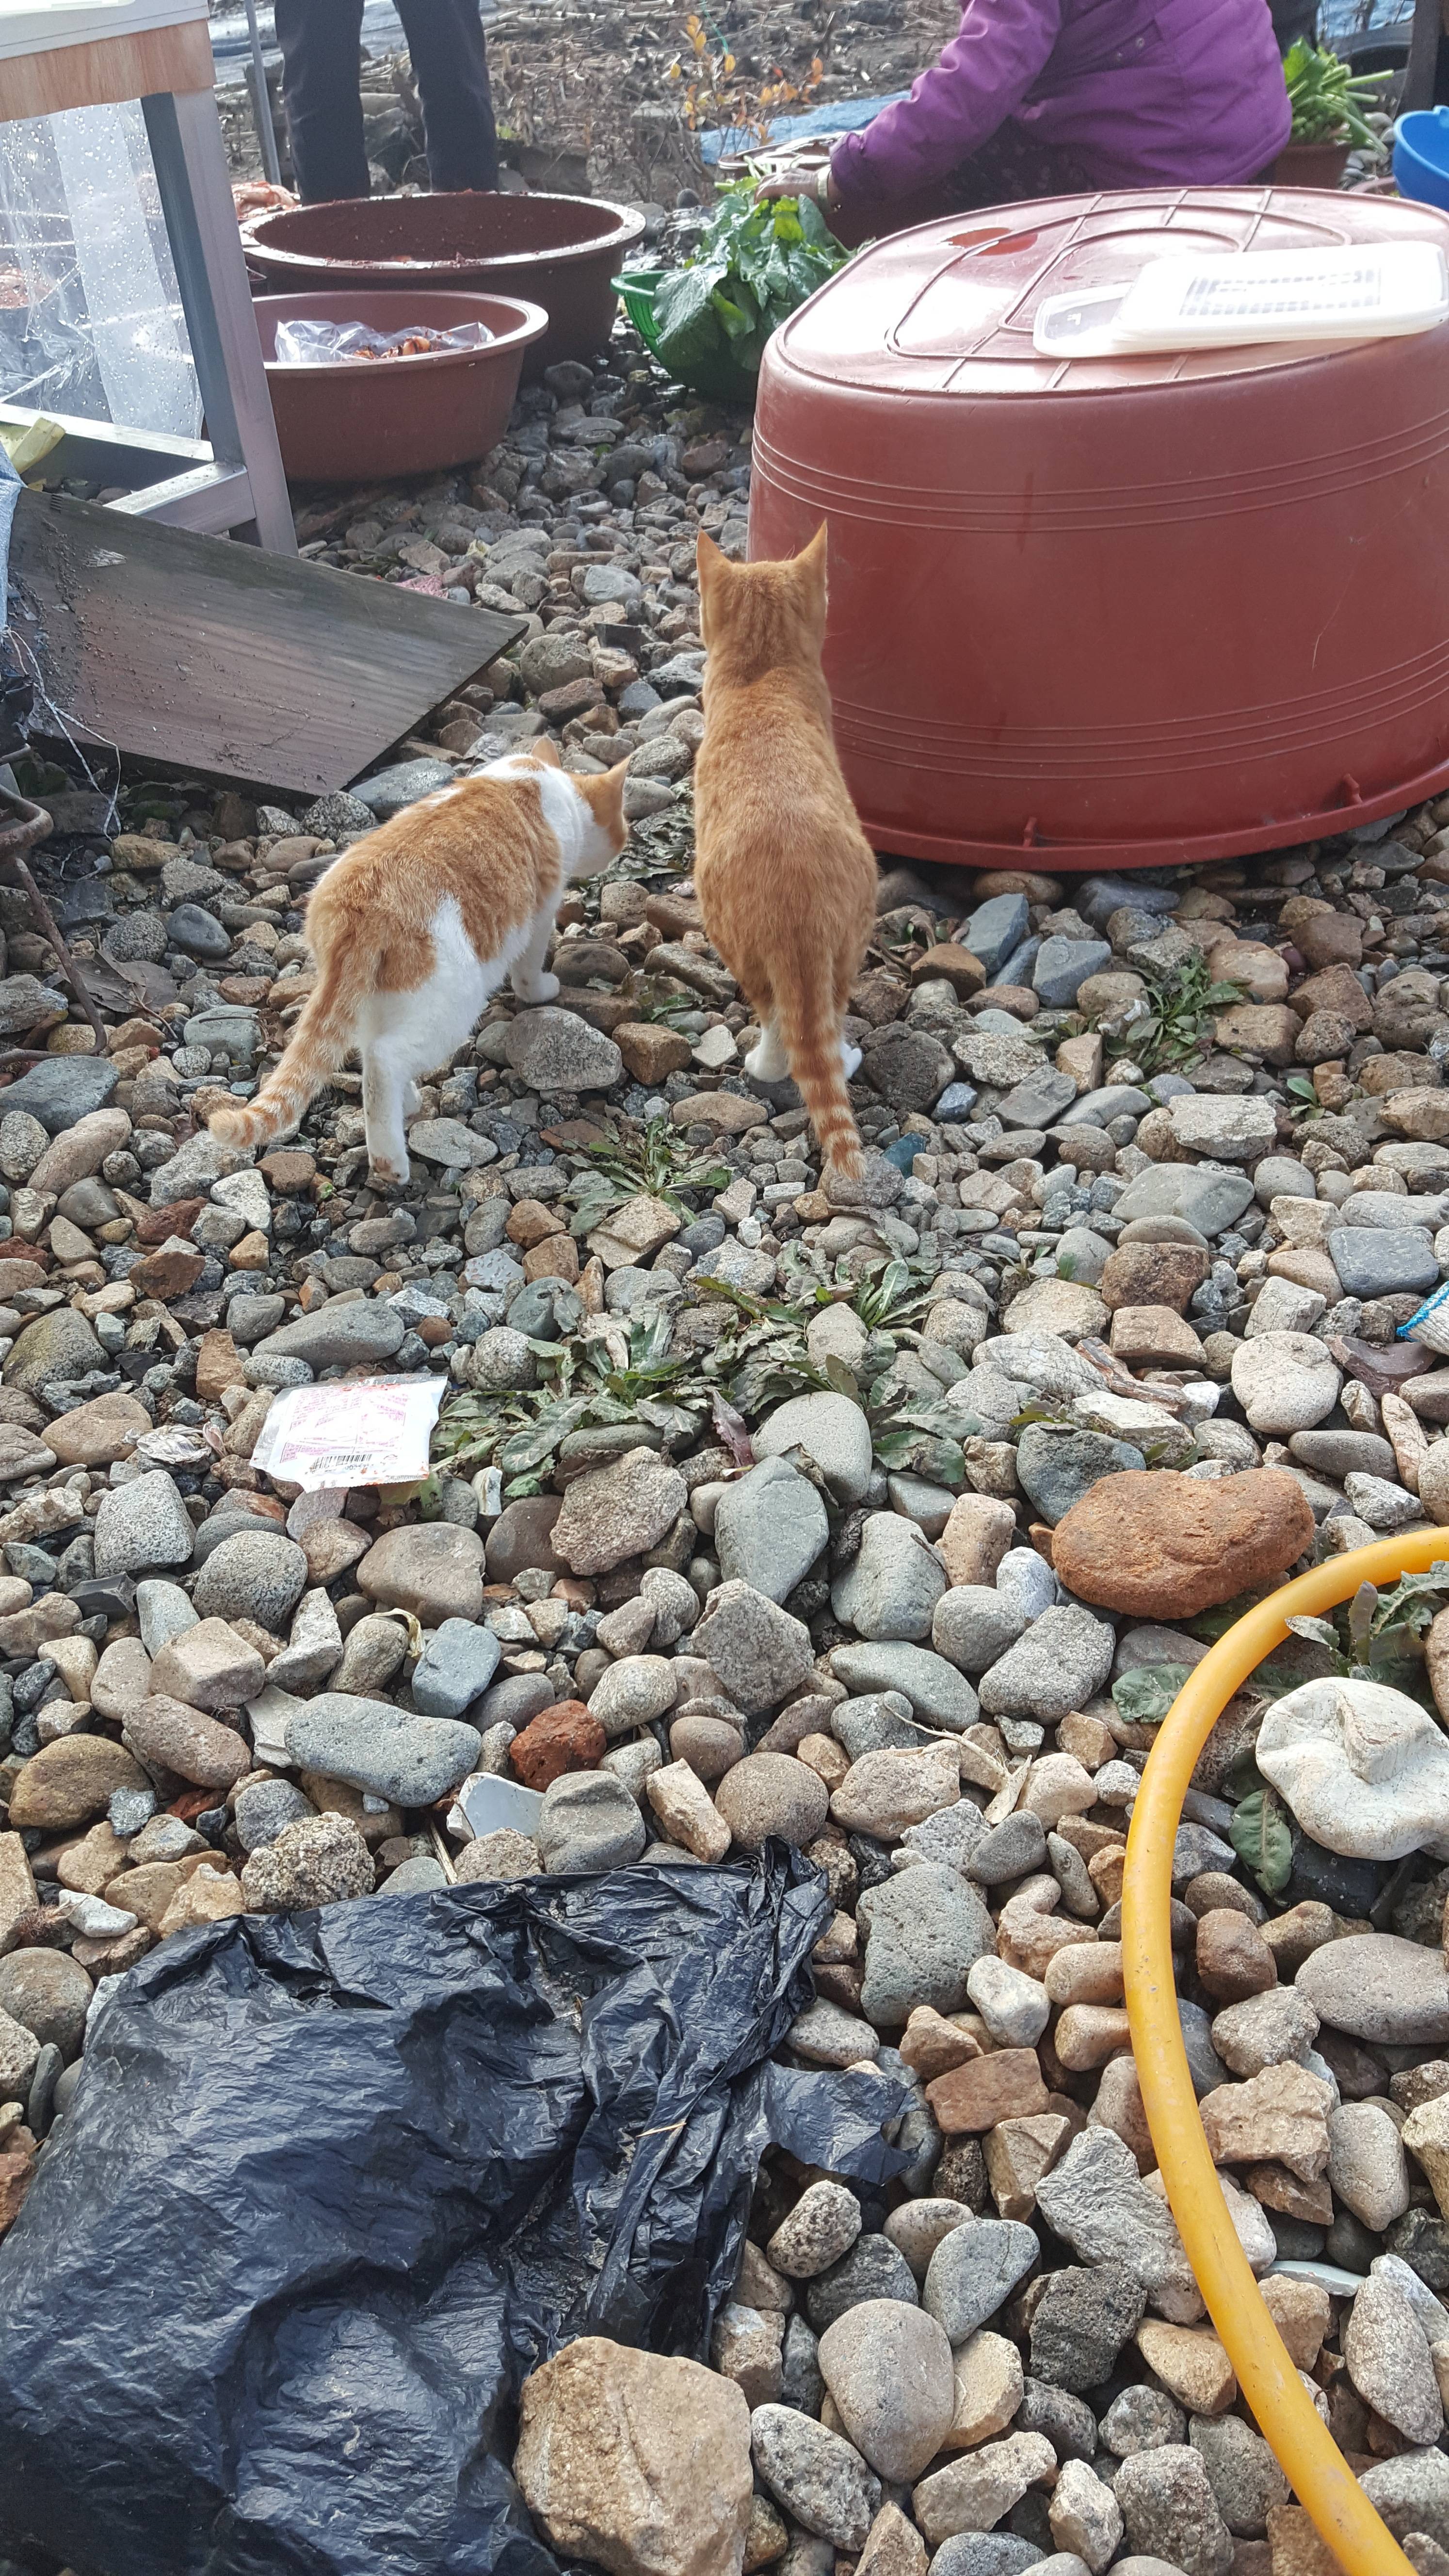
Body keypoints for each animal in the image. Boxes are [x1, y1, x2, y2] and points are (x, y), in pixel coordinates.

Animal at [206, 747, 624, 1185]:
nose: (624, 840)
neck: (533, 776)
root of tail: (362, 904)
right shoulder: (542, 912)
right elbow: (529, 970)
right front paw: (543, 990)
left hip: (372, 997)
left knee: (371, 1049)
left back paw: (403, 1105)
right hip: (450, 1004)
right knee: (383, 1059)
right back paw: (390, 1161)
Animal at [696, 525, 876, 1185]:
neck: (763, 672)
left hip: (737, 938)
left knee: (778, 1024)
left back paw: (762, 1064)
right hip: (849, 937)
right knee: (822, 1018)